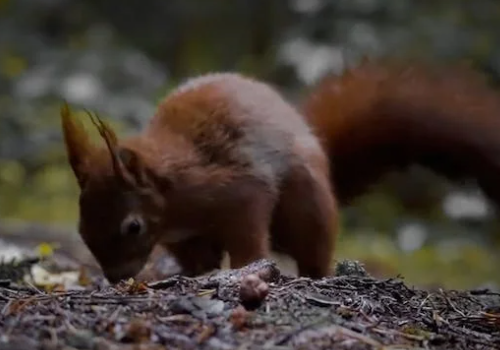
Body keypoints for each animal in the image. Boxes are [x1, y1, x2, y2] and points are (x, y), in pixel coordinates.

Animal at [61, 61, 500, 284]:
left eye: (132, 227)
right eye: (80, 227)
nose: (115, 278)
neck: (174, 196)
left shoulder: (240, 192)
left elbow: (249, 239)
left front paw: (244, 270)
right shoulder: (182, 237)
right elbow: (196, 257)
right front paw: (194, 275)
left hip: (306, 207)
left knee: (313, 252)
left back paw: (313, 275)